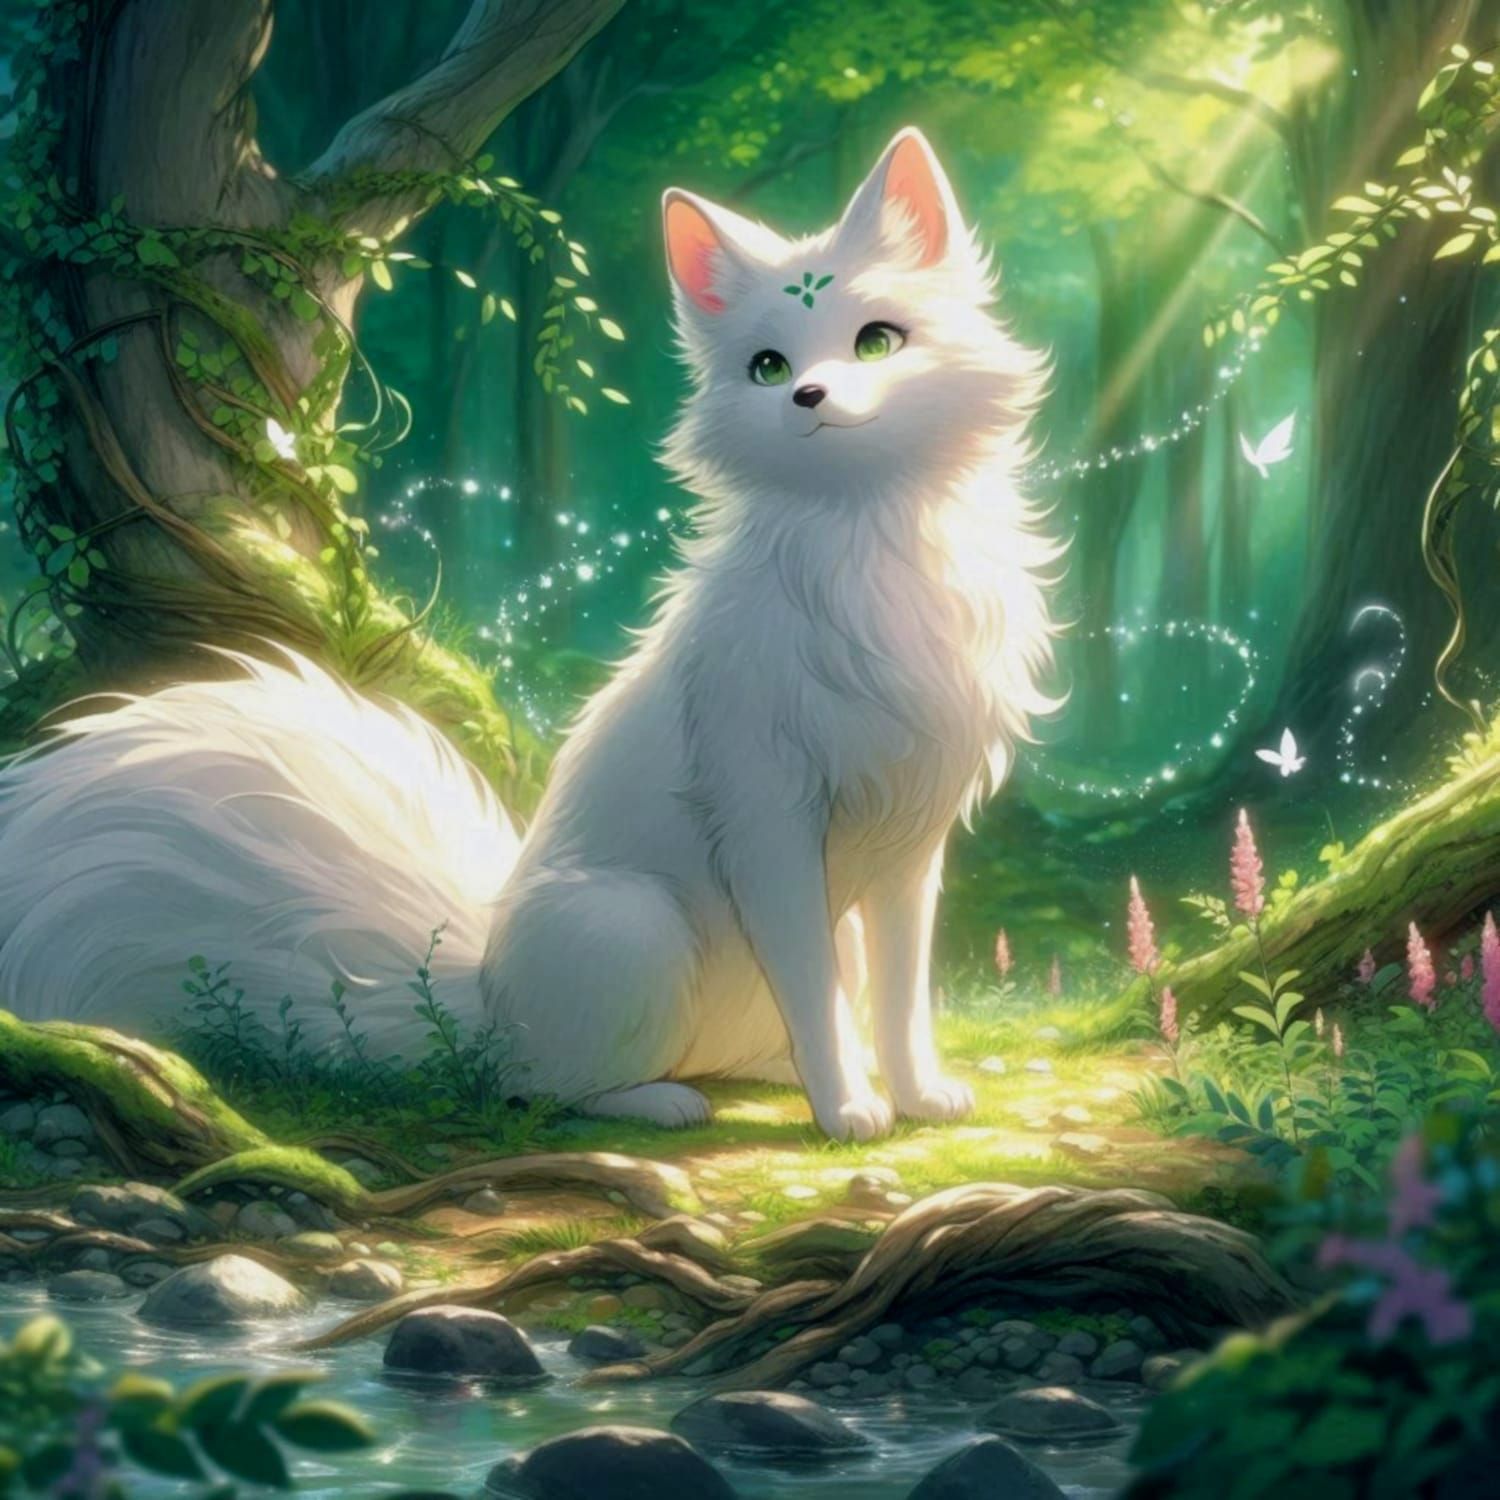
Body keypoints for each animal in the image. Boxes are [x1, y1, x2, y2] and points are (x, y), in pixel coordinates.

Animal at [0, 128, 1059, 1142]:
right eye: (769, 367)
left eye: (877, 342)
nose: (808, 397)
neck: (872, 542)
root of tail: (478, 997)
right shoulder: (769, 820)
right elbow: (813, 984)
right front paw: (847, 1114)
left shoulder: (909, 843)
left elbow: (899, 996)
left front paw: (916, 1095)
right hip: (634, 926)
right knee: (542, 1086)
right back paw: (666, 1099)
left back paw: (761, 1074)